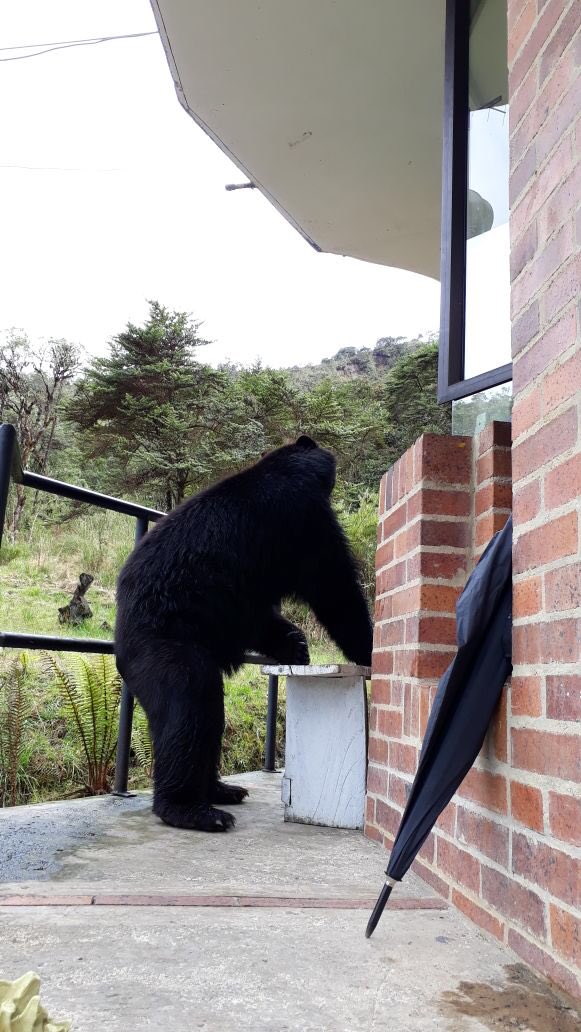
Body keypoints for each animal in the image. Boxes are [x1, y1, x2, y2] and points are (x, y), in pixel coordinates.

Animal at [114, 435, 373, 832]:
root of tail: (120, 639)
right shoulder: (300, 519)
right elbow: (333, 588)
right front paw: (370, 647)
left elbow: (260, 617)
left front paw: (296, 646)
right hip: (166, 648)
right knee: (191, 709)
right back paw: (194, 809)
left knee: (205, 720)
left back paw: (222, 790)